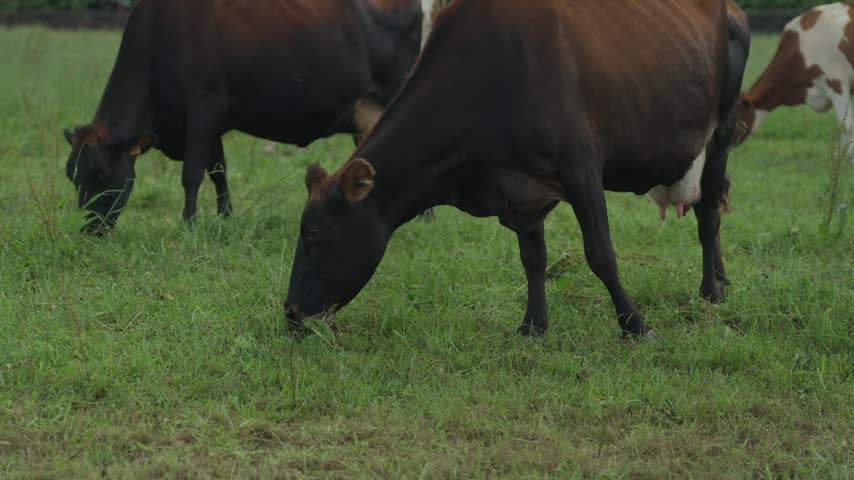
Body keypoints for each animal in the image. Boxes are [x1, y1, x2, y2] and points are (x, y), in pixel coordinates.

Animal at [64, 0, 424, 233]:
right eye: (73, 176)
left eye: (101, 174)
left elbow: (191, 175)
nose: (88, 231)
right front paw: (225, 218)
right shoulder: (212, 123)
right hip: (366, 109)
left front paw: (189, 226)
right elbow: (218, 173)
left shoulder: (202, 107)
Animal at [283, 0, 750, 339]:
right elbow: (533, 258)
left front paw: (635, 325)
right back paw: (723, 279)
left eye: (313, 232)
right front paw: (533, 327)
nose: (290, 311)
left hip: (721, 129)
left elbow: (601, 253)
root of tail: (729, 8)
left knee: (709, 213)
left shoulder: (581, 168)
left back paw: (710, 291)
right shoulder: (517, 187)